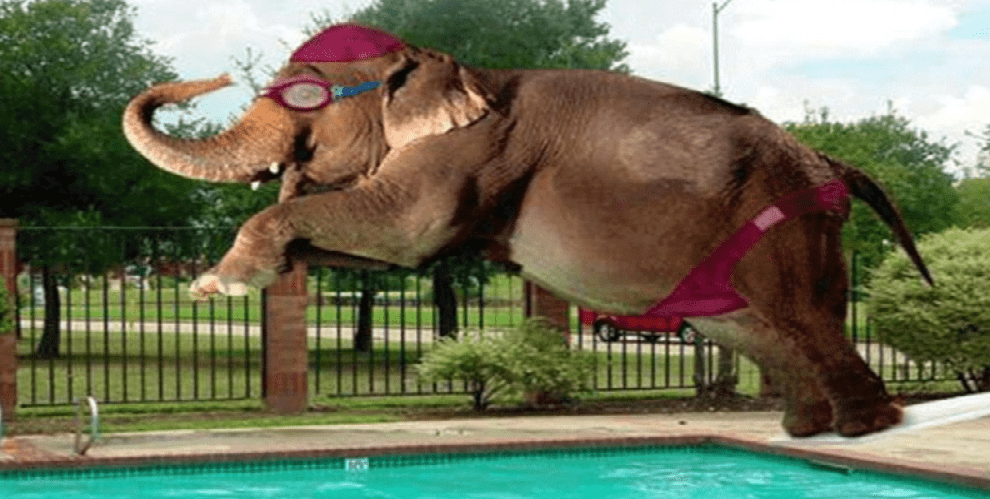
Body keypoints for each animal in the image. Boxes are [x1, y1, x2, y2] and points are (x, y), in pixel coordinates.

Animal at [123, 23, 933, 437]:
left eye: (301, 94)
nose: (214, 78)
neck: (444, 66)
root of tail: (830, 159)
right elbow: (383, 248)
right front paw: (235, 273)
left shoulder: (473, 152)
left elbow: (406, 228)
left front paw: (218, 284)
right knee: (755, 329)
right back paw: (805, 429)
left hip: (784, 223)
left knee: (801, 318)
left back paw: (863, 429)